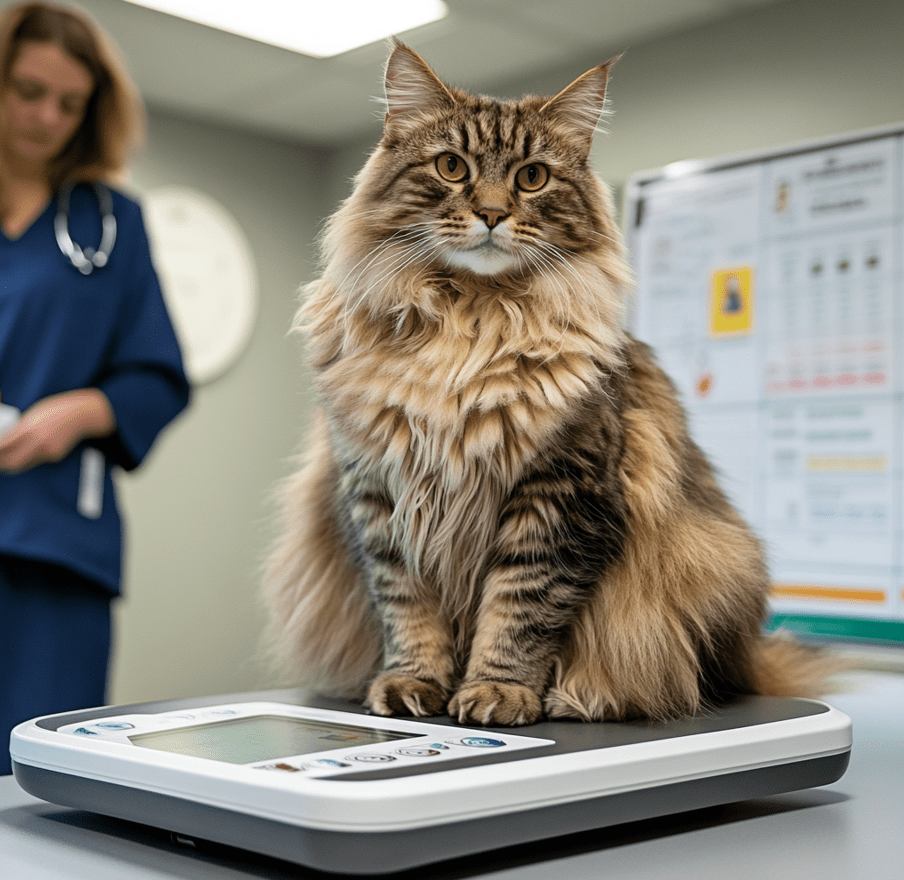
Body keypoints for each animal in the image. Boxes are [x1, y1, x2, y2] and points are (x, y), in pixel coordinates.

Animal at [264, 41, 832, 724]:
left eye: (532, 177)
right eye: (451, 167)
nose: (490, 213)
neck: (468, 323)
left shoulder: (561, 491)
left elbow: (520, 607)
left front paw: (497, 691)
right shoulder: (377, 495)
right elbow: (406, 606)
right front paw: (412, 683)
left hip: (713, 564)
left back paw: (576, 698)